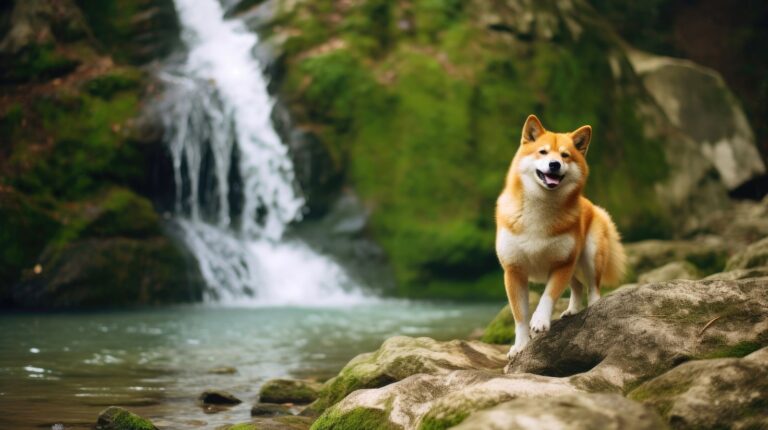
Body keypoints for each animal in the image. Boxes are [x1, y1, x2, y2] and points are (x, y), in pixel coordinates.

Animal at [495, 114, 626, 360]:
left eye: (565, 155)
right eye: (543, 152)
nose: (554, 164)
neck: (539, 209)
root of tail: (593, 206)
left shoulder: (562, 263)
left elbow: (547, 296)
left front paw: (540, 320)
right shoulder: (514, 270)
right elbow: (519, 316)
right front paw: (520, 345)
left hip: (590, 255)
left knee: (592, 288)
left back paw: (594, 308)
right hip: (572, 267)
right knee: (577, 286)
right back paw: (573, 310)